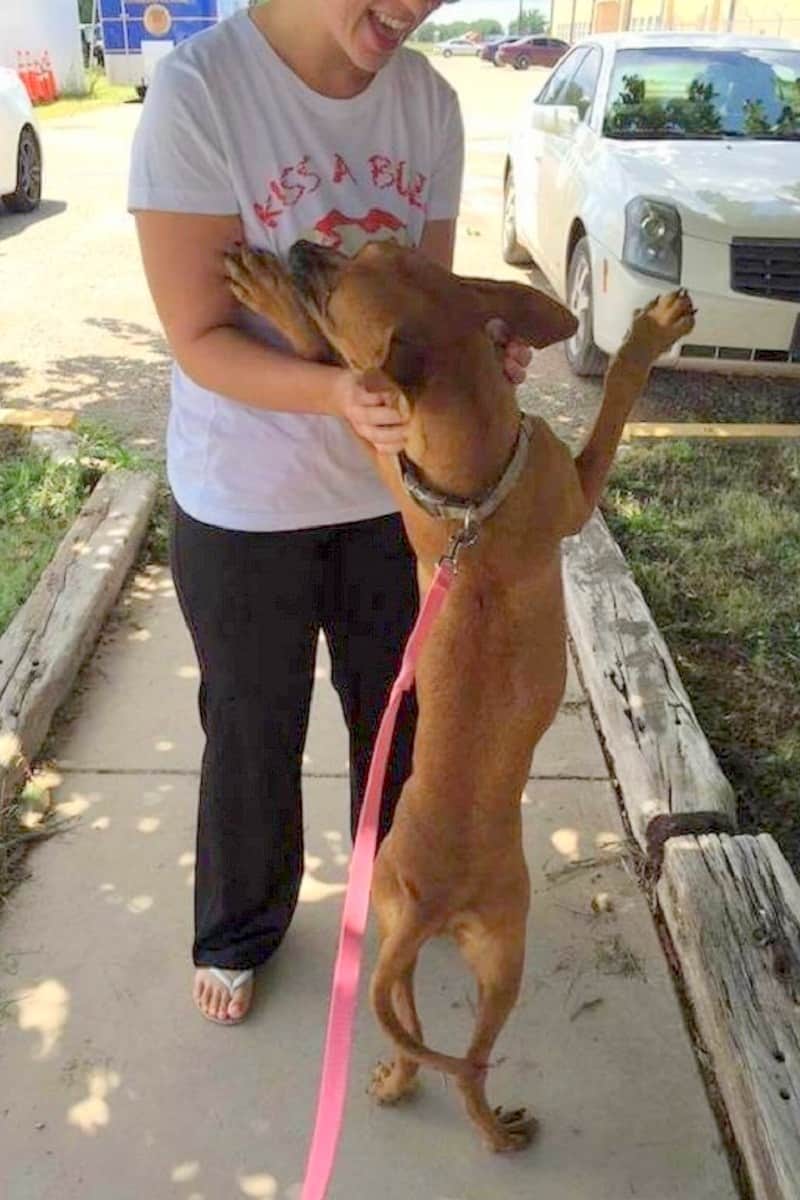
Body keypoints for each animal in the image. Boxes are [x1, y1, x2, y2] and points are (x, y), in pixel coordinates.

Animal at [225, 236, 695, 1152]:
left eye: (359, 261)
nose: (298, 248)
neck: (477, 480)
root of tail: (431, 902)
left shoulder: (387, 450)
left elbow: (329, 371)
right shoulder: (573, 487)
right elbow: (617, 398)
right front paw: (648, 336)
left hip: (399, 949)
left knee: (423, 1044)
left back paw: (402, 1084)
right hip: (501, 953)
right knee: (469, 1065)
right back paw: (496, 1130)